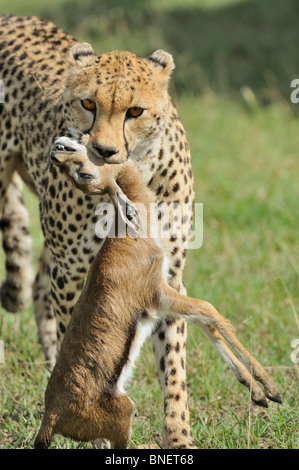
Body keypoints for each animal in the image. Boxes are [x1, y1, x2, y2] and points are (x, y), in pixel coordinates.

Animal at [0, 15, 196, 448]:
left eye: (135, 111)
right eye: (88, 103)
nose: (104, 151)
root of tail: (16, 17)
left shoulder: (166, 274)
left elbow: (173, 366)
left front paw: (178, 437)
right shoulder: (76, 273)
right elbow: (84, 351)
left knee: (38, 287)